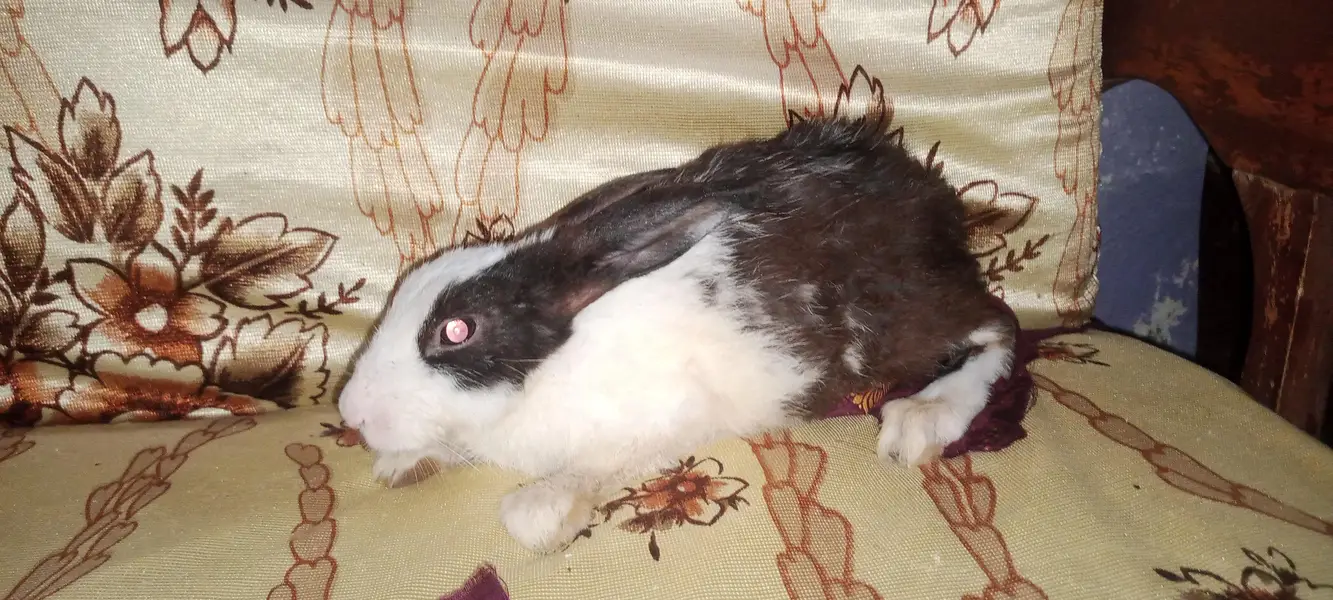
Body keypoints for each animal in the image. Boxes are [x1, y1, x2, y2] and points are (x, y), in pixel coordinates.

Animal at [337, 112, 1017, 553]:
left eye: (457, 330)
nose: (351, 414)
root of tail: (934, 198)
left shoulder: (669, 419)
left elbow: (585, 474)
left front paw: (546, 512)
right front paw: (400, 463)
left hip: (905, 317)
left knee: (998, 326)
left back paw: (922, 418)